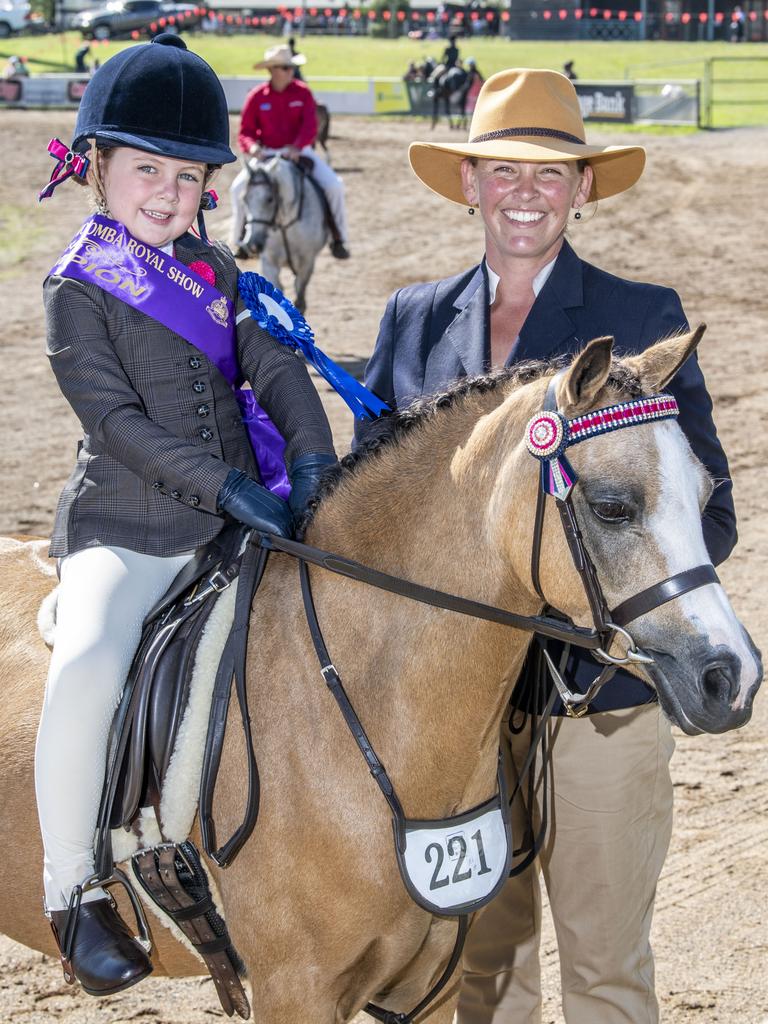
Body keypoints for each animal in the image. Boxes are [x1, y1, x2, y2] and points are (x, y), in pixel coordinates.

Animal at [241, 152, 329, 311]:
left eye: (270, 199)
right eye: (244, 199)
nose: (253, 244)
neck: (283, 226)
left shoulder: (307, 263)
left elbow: (300, 300)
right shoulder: (269, 263)